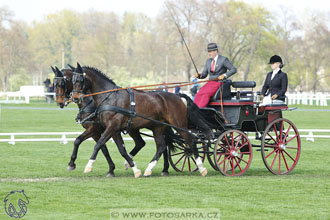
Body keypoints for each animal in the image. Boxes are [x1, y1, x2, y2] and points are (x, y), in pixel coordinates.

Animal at [71, 62, 211, 177]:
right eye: (72, 80)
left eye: (80, 79)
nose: (75, 97)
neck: (110, 97)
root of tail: (177, 95)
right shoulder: (112, 129)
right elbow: (120, 149)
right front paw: (134, 169)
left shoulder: (111, 127)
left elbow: (98, 144)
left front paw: (88, 166)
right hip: (158, 127)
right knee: (161, 147)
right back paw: (149, 169)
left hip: (179, 125)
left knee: (190, 142)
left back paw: (201, 168)